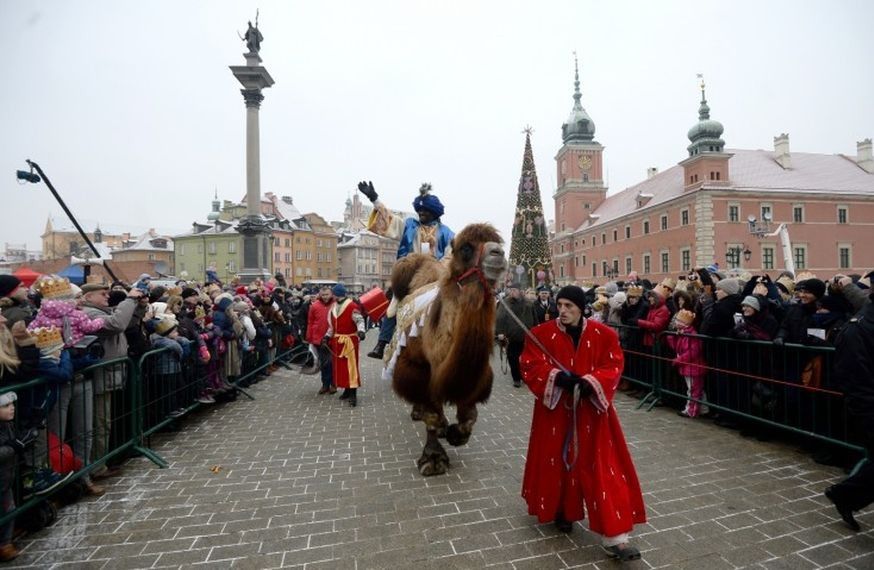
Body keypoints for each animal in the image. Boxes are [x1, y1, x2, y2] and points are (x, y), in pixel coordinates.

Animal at [386, 222, 508, 474]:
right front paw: (433, 459)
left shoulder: (476, 377)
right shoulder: (418, 368)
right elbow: (431, 415)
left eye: (498, 243)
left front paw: (455, 434)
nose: (498, 253)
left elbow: (469, 415)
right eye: (466, 248)